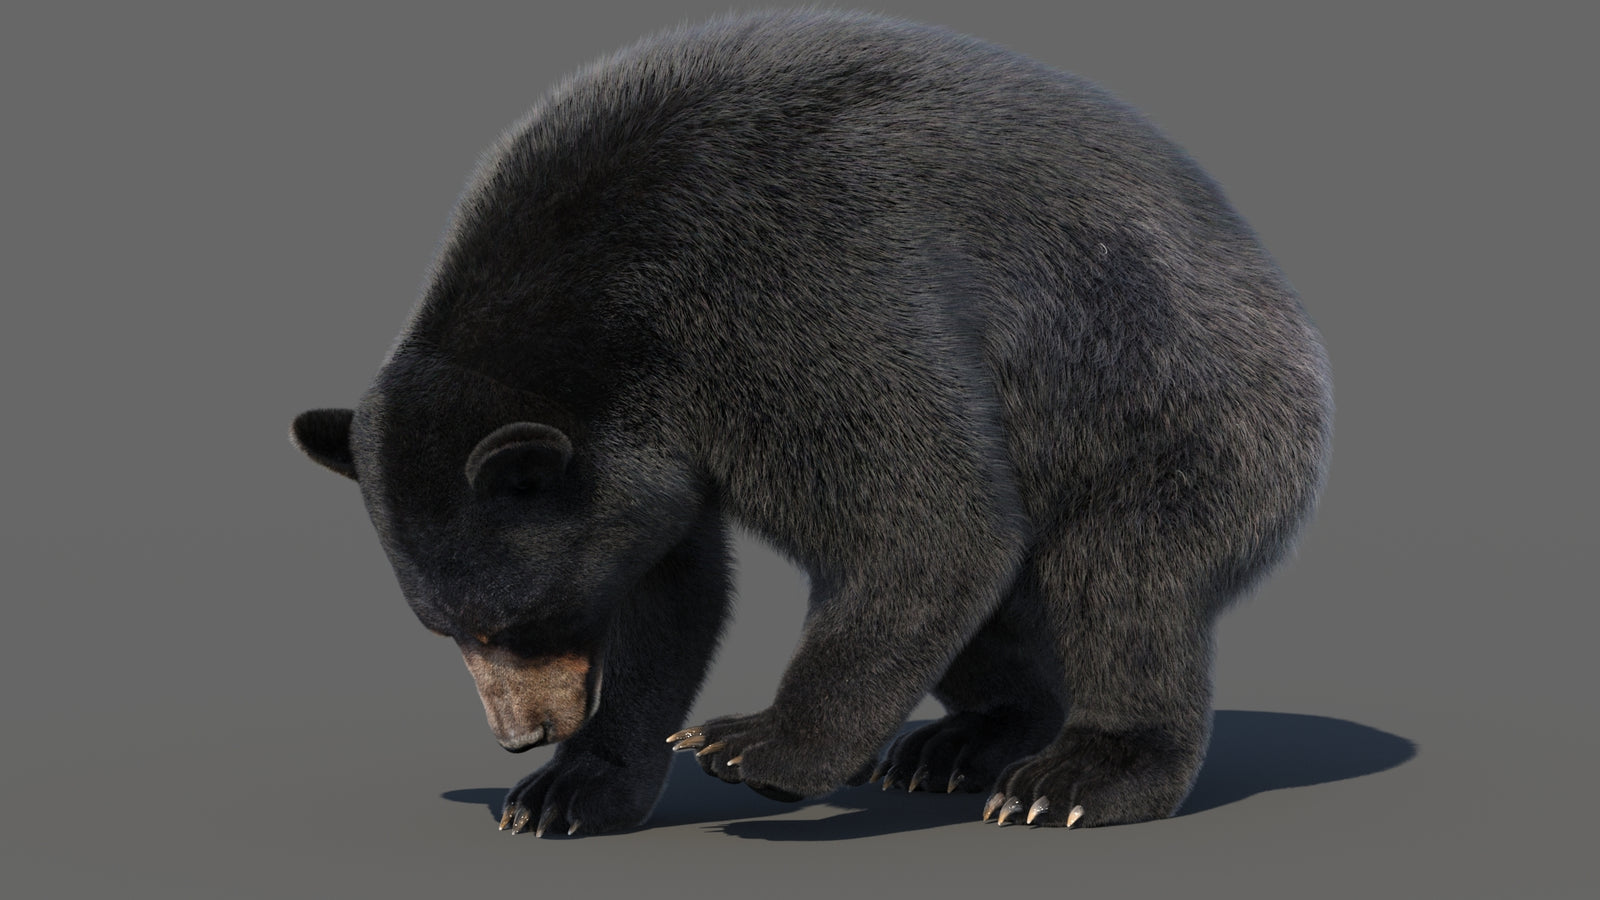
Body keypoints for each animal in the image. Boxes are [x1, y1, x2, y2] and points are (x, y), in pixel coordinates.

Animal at [291, 8, 1332, 836]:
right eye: (445, 628)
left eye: (516, 620)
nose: (520, 735)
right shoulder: (647, 439)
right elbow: (671, 587)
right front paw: (569, 791)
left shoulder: (791, 293)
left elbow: (929, 519)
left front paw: (751, 742)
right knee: (1005, 612)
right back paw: (962, 743)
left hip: (1173, 402)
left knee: (1124, 579)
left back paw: (1075, 776)